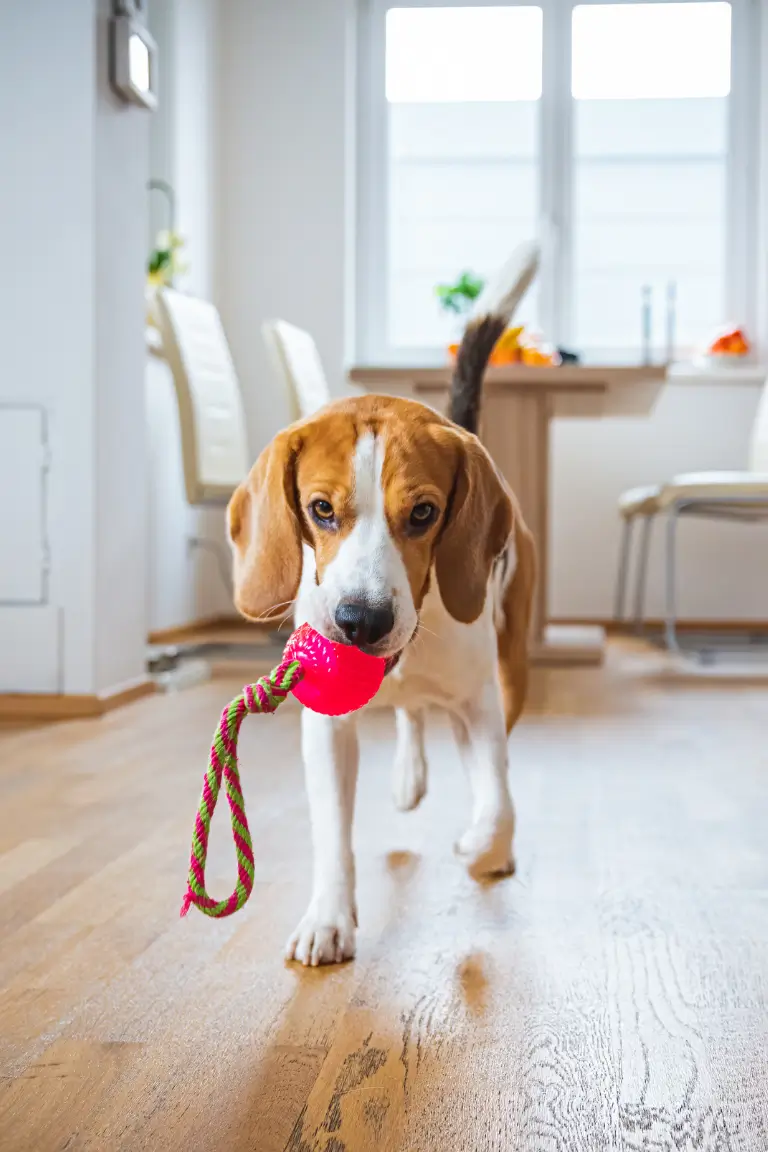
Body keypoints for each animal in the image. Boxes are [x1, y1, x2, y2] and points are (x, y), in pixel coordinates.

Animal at [227, 306, 534, 963]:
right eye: (320, 509)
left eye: (423, 513)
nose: (361, 620)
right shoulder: (326, 730)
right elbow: (331, 834)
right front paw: (328, 917)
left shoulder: (481, 705)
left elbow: (498, 801)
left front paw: (482, 846)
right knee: (409, 714)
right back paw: (407, 776)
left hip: (511, 671)